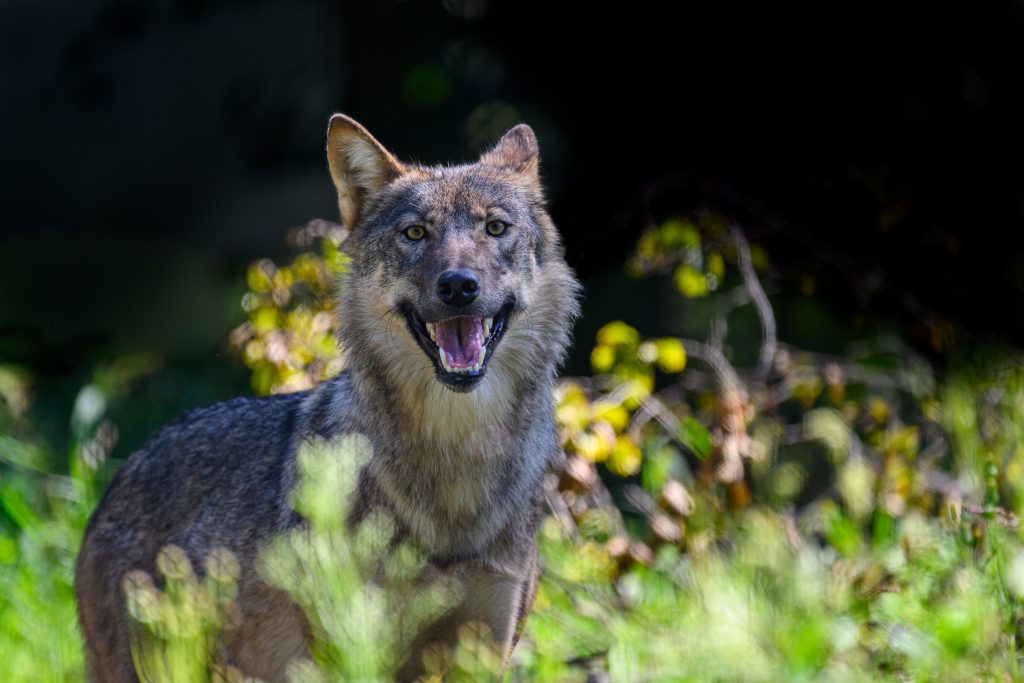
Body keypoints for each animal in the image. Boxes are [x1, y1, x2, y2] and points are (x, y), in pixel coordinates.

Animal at [74, 114, 585, 679]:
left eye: (495, 228)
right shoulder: (355, 649)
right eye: (415, 233)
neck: (456, 457)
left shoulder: (484, 652)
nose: (458, 286)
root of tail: (119, 476)